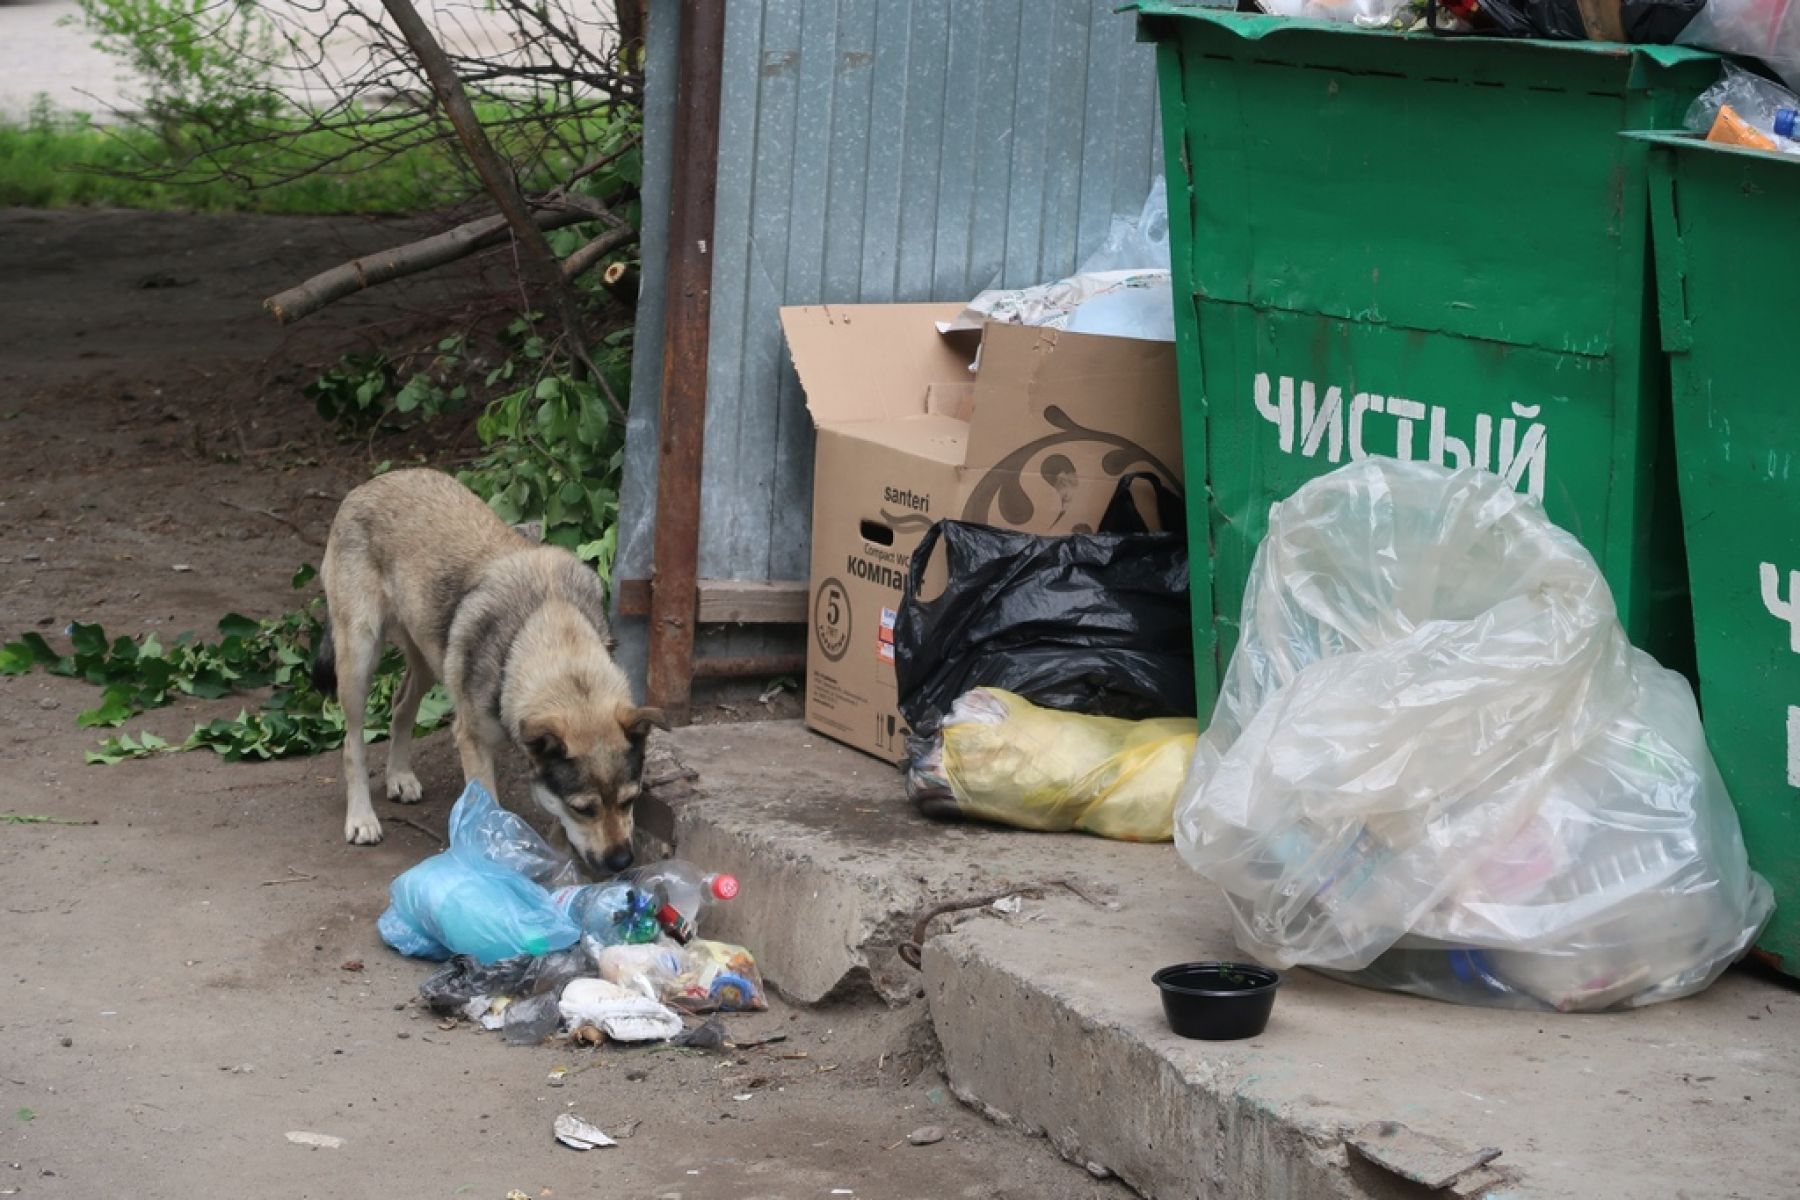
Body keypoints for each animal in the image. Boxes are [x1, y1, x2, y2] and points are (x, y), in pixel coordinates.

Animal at [313, 467, 666, 874]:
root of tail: (371, 483)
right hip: (360, 657)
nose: (623, 861)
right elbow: (489, 808)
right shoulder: (472, 742)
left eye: (630, 800)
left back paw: (399, 778)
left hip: (429, 659)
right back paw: (361, 819)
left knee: (401, 707)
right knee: (352, 742)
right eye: (583, 809)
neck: (549, 628)